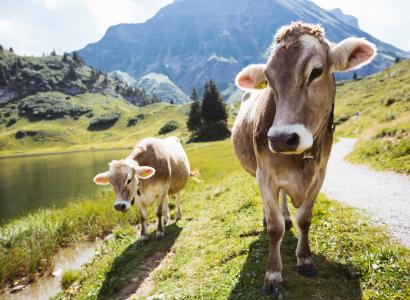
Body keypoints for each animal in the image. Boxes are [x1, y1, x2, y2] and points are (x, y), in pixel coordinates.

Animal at [232, 22, 376, 296]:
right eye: (269, 80)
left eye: (316, 71)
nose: (281, 139)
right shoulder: (265, 176)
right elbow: (275, 228)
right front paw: (273, 274)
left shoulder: (320, 174)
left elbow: (305, 219)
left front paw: (305, 259)